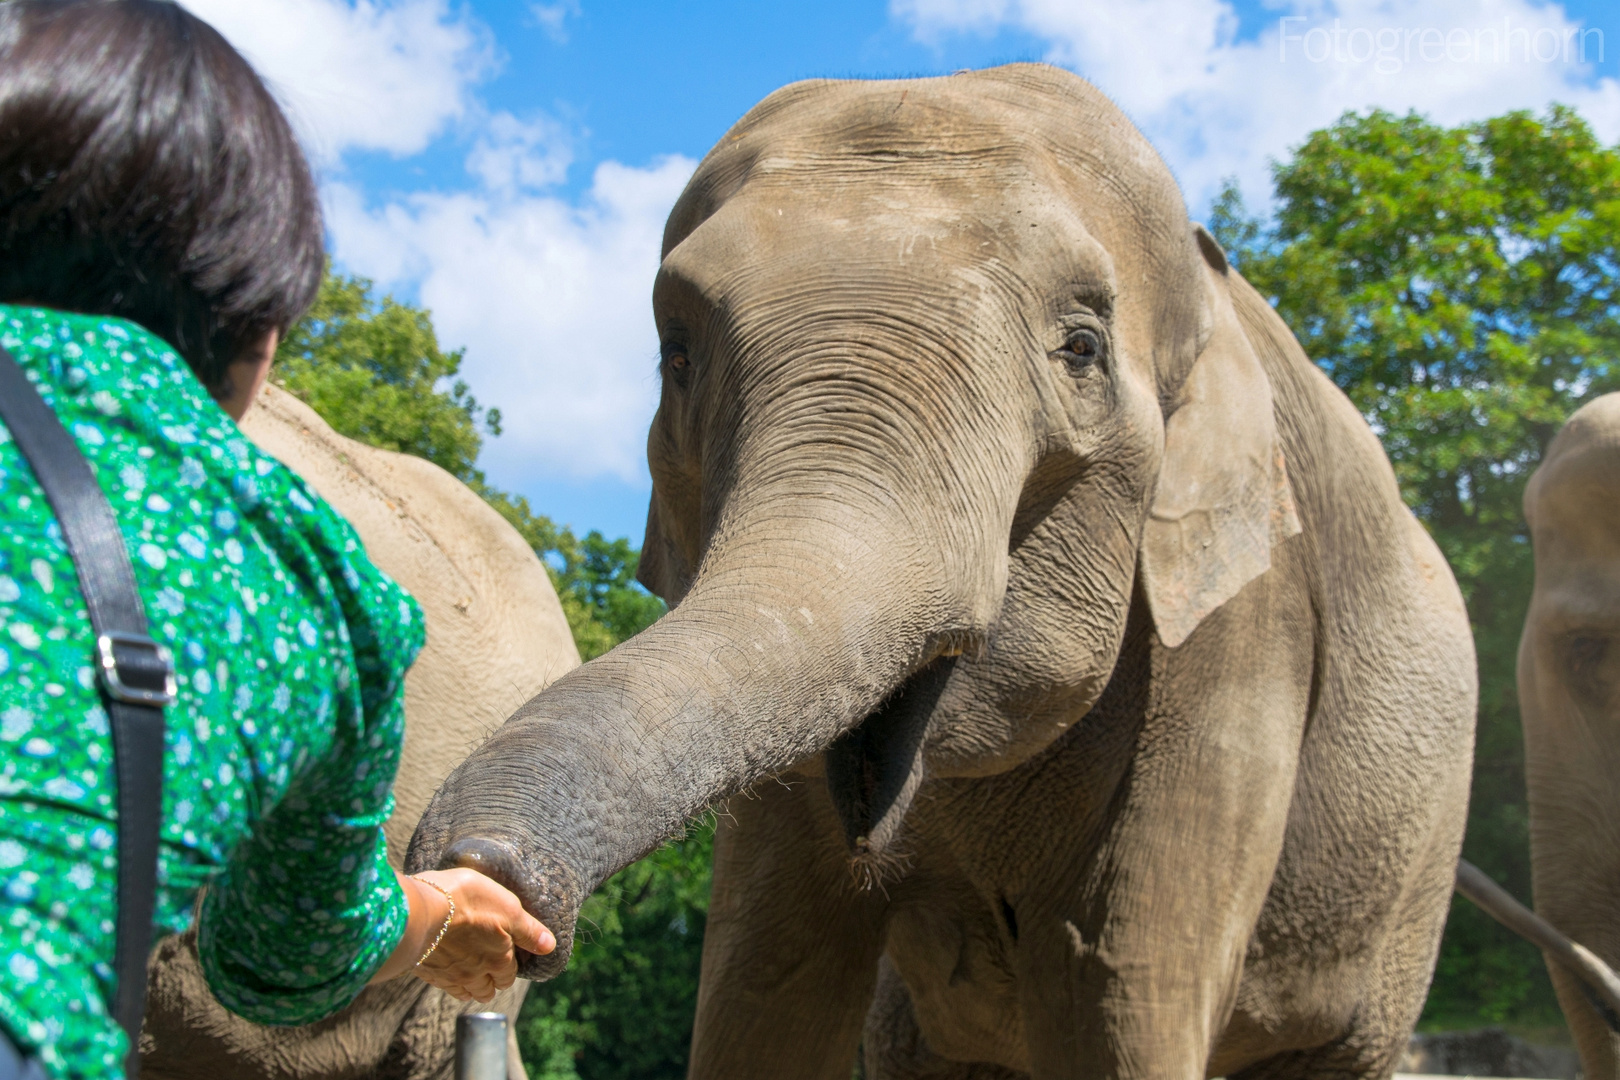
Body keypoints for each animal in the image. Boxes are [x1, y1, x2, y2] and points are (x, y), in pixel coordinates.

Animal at [408, 65, 1483, 1080]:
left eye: (1083, 348)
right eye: (676, 357)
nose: (488, 878)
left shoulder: (1244, 625)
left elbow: (1118, 985)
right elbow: (767, 977)